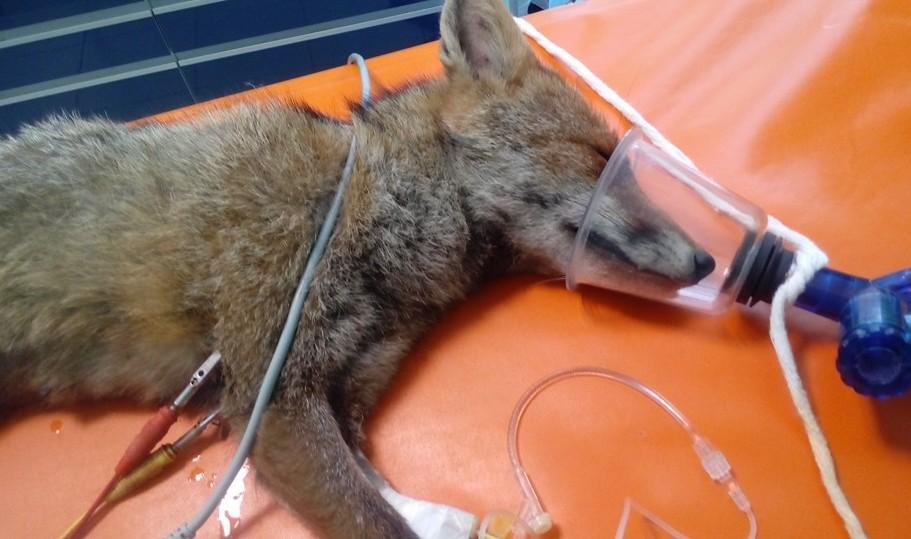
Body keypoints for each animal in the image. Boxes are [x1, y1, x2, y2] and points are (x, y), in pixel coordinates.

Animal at [0, 0, 715, 537]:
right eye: (599, 155)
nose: (711, 259)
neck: (370, 202)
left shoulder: (346, 389)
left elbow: (385, 493)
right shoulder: (271, 398)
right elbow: (375, 520)